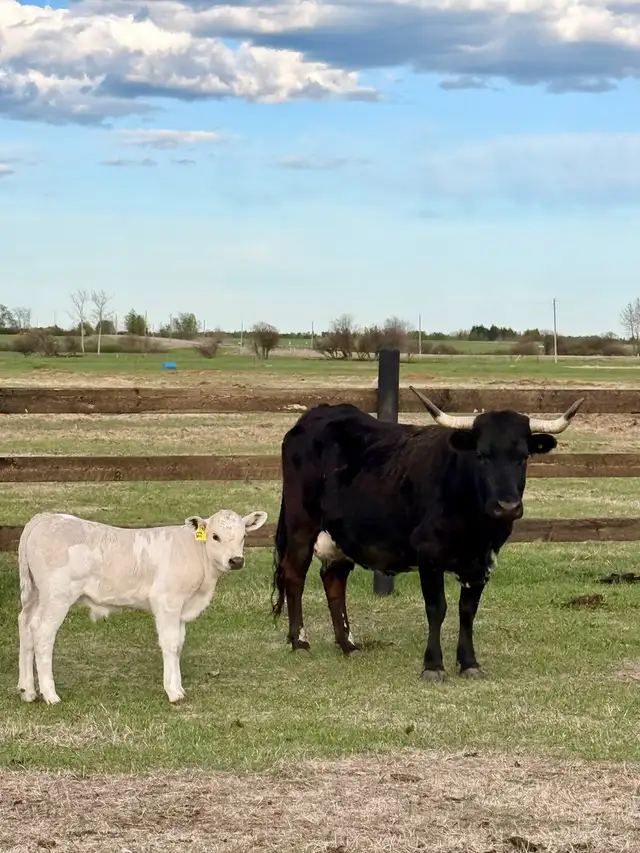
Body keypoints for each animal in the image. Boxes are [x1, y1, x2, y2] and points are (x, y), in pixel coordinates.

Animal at [17, 509, 268, 704]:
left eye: (244, 536)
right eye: (215, 536)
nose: (236, 561)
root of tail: (46, 517)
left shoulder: (180, 608)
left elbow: (179, 644)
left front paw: (179, 687)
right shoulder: (166, 601)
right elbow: (170, 643)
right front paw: (173, 692)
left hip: (35, 595)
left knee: (25, 625)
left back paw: (27, 691)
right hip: (57, 596)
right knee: (42, 633)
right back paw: (50, 695)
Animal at [271, 389, 583, 680]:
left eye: (524, 456)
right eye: (481, 455)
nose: (507, 506)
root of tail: (316, 414)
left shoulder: (483, 561)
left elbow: (467, 610)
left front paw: (469, 663)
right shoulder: (429, 555)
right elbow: (437, 608)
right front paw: (433, 665)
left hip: (341, 533)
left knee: (334, 579)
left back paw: (348, 645)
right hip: (302, 525)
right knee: (294, 574)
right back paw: (300, 642)